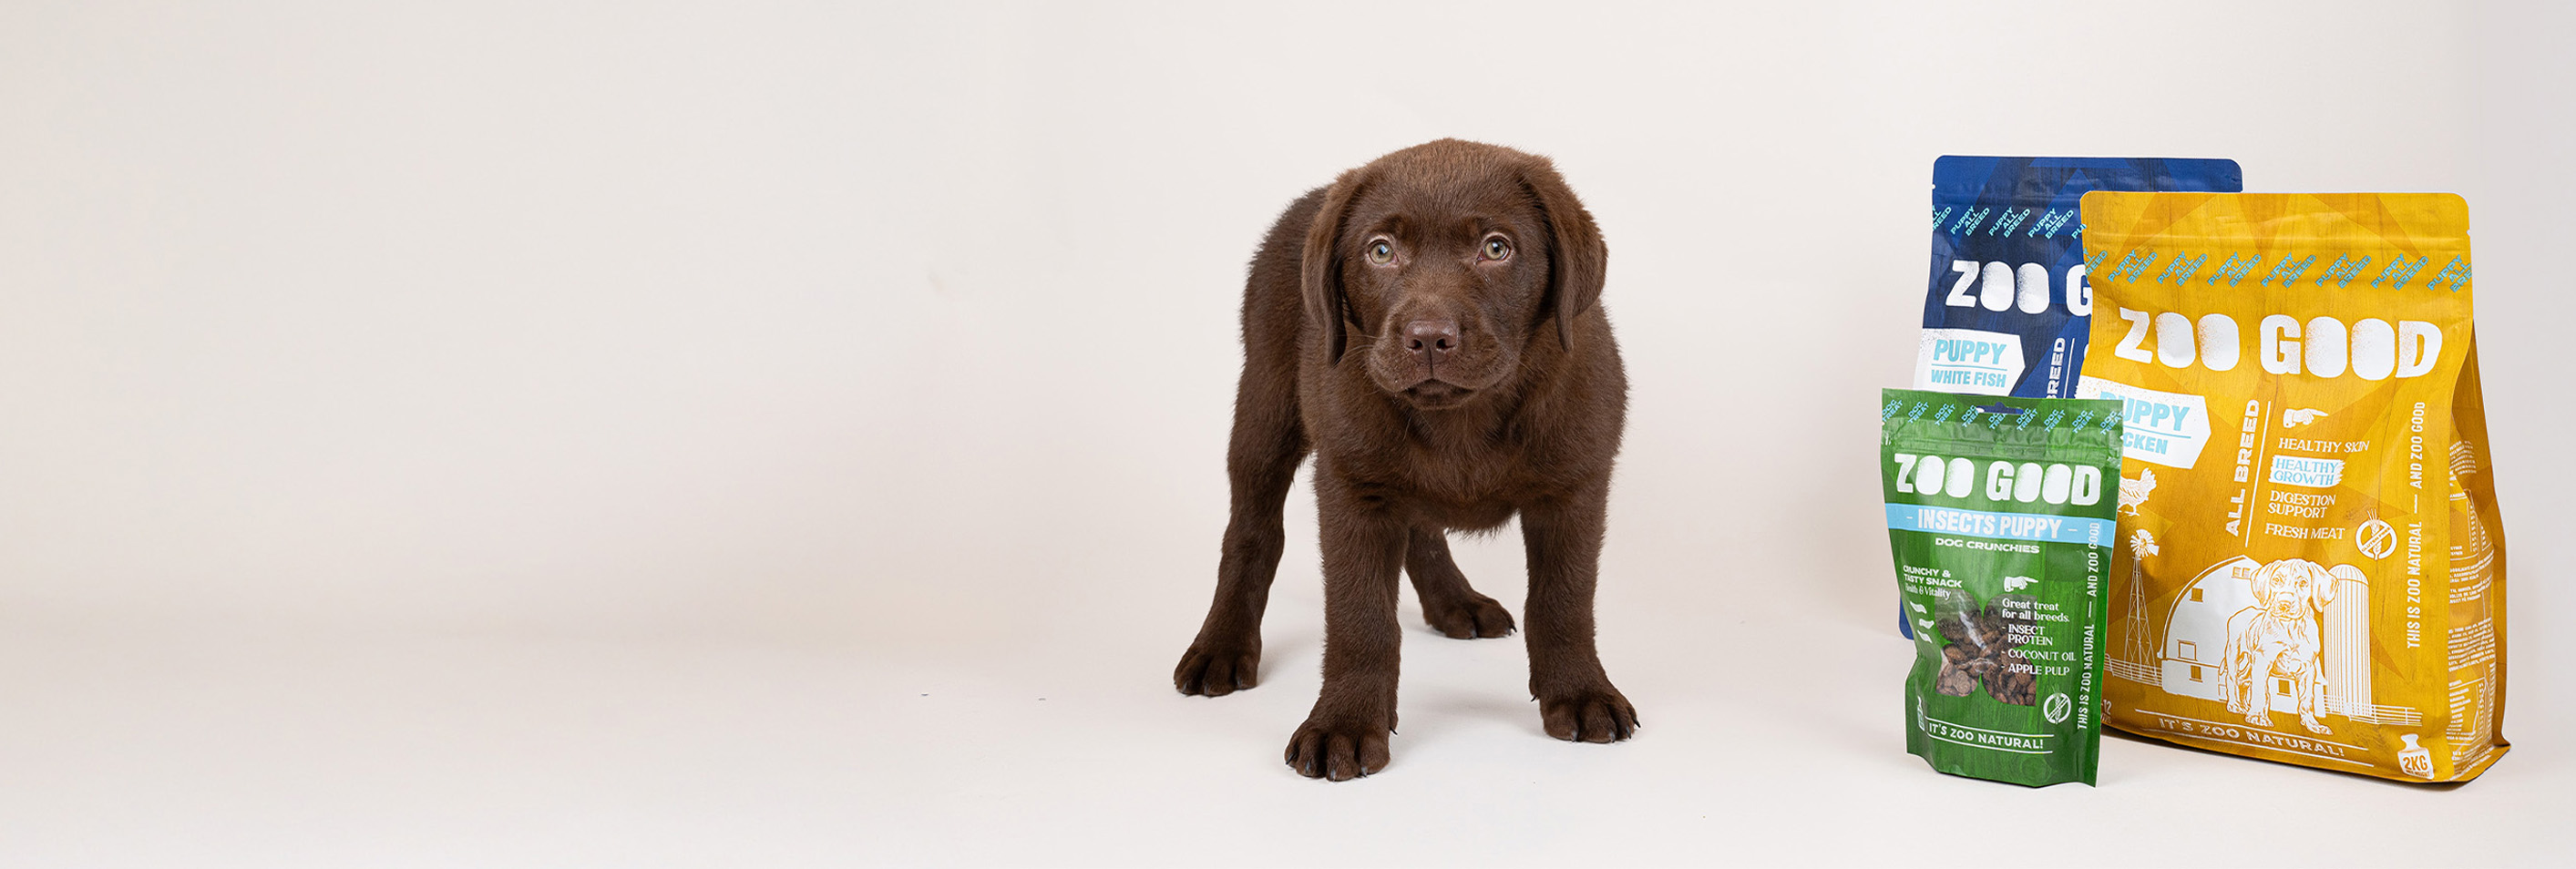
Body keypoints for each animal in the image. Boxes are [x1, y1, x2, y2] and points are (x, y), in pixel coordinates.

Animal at [1172, 139, 1633, 780]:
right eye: (1381, 251)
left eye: (1497, 248)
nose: (1429, 338)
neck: (1462, 417)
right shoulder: (1355, 489)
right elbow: (1360, 617)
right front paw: (1343, 724)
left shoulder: (1574, 486)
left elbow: (1563, 601)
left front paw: (1581, 693)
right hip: (1265, 402)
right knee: (1251, 530)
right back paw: (1221, 644)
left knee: (1421, 528)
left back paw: (1454, 601)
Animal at [2222, 558, 2349, 735]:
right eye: (2276, 580)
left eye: (2303, 583)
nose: (2284, 604)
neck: (2291, 628)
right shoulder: (2263, 660)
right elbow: (2262, 692)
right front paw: (2258, 717)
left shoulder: (2308, 669)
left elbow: (2306, 701)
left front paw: (2312, 725)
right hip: (2235, 653)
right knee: (2233, 678)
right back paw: (2235, 705)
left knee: (2244, 680)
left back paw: (2245, 706)